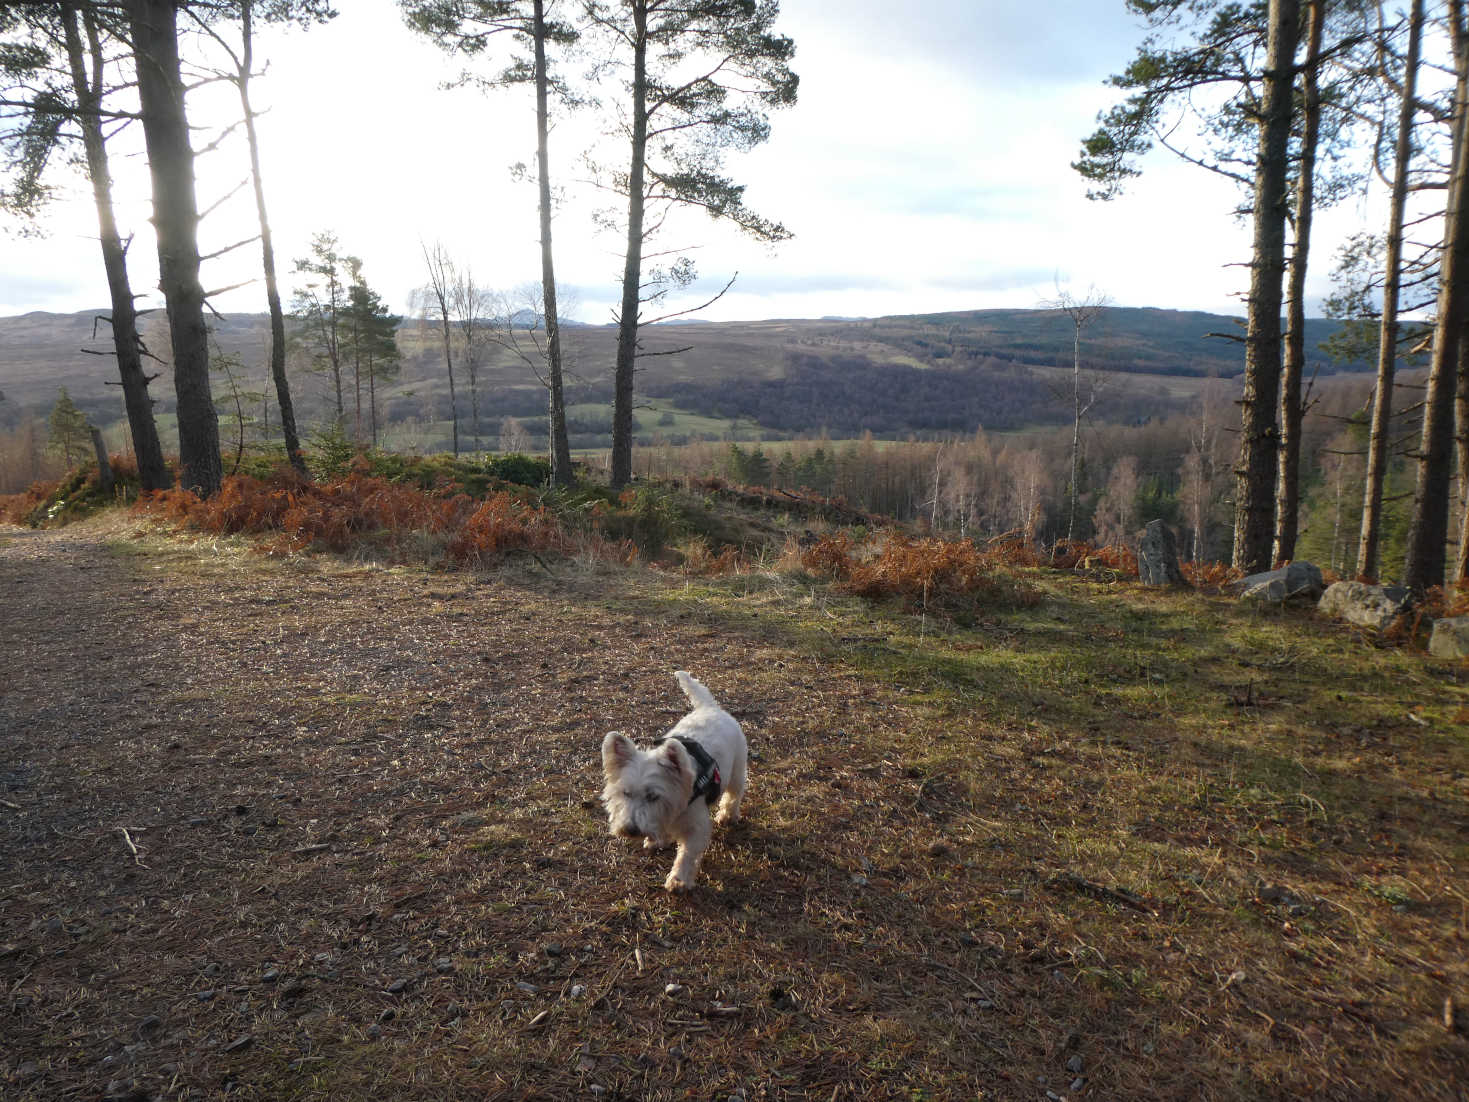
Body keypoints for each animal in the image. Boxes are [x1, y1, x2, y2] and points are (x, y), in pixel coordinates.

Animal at [602, 670, 752, 893]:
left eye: (653, 796)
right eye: (625, 793)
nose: (631, 830)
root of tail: (710, 707)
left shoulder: (696, 827)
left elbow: (687, 855)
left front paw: (678, 880)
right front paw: (657, 840)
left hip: (736, 770)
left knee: (734, 794)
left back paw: (727, 816)